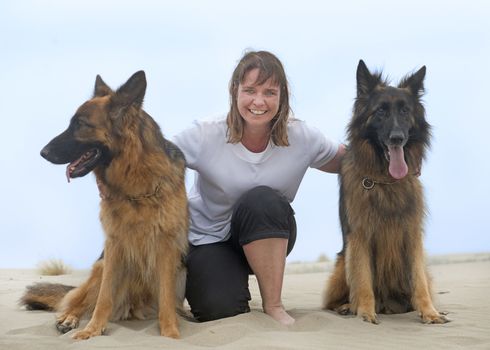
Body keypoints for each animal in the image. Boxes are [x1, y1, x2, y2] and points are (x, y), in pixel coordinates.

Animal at [19, 71, 189, 340]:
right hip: (100, 266)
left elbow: (166, 298)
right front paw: (92, 330)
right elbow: (104, 298)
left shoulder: (166, 246)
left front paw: (170, 334)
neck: (136, 187)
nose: (42, 153)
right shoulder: (114, 246)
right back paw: (69, 318)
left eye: (80, 124)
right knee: (80, 300)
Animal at [324, 60, 450, 326]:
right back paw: (347, 306)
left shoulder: (412, 235)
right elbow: (363, 280)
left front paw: (429, 311)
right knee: (334, 299)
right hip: (342, 262)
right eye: (380, 112)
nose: (397, 138)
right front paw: (364, 311)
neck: (386, 180)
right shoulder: (360, 236)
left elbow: (418, 280)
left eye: (404, 111)